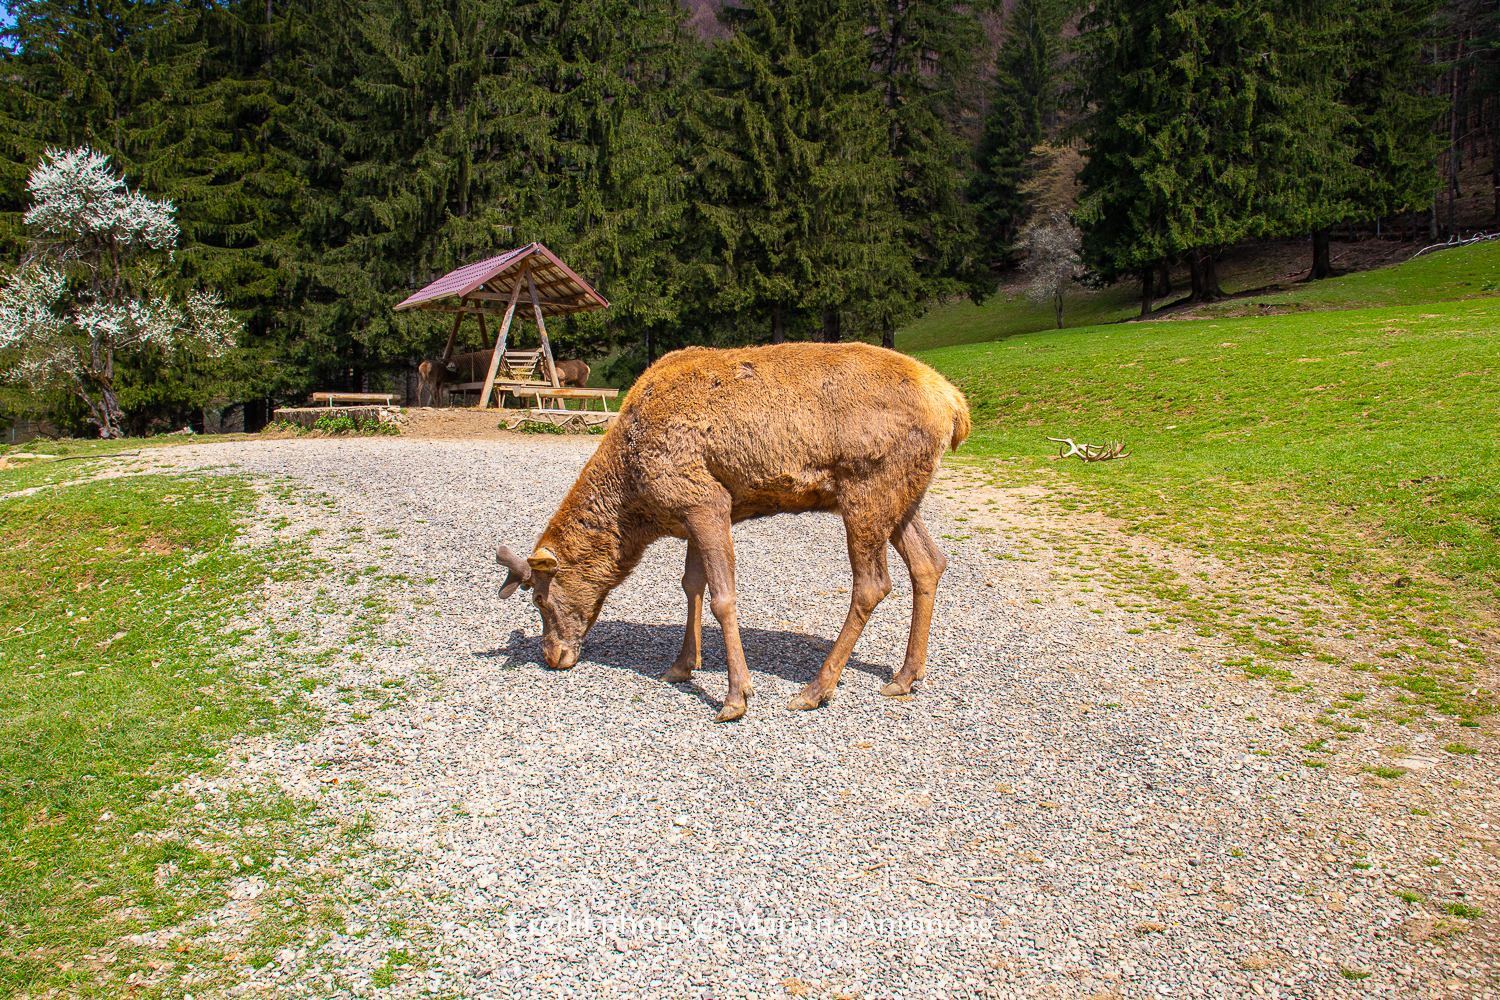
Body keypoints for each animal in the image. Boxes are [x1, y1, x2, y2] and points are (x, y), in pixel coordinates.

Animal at [493, 341, 971, 722]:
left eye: (539, 599)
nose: (552, 656)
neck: (637, 507)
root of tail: (955, 405)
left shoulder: (706, 500)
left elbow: (723, 598)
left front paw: (735, 696)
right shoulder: (689, 512)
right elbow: (691, 585)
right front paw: (683, 665)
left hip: (867, 487)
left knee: (872, 583)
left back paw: (815, 689)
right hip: (903, 496)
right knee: (929, 562)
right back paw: (905, 676)